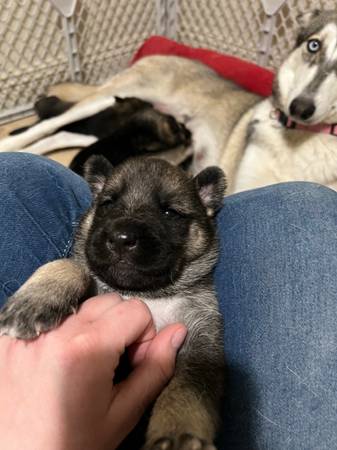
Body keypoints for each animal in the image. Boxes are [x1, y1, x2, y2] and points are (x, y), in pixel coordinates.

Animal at [0, 156, 227, 450]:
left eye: (170, 212)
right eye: (107, 203)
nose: (121, 238)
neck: (144, 294)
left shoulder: (201, 344)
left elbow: (186, 390)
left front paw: (178, 433)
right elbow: (72, 264)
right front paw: (35, 299)